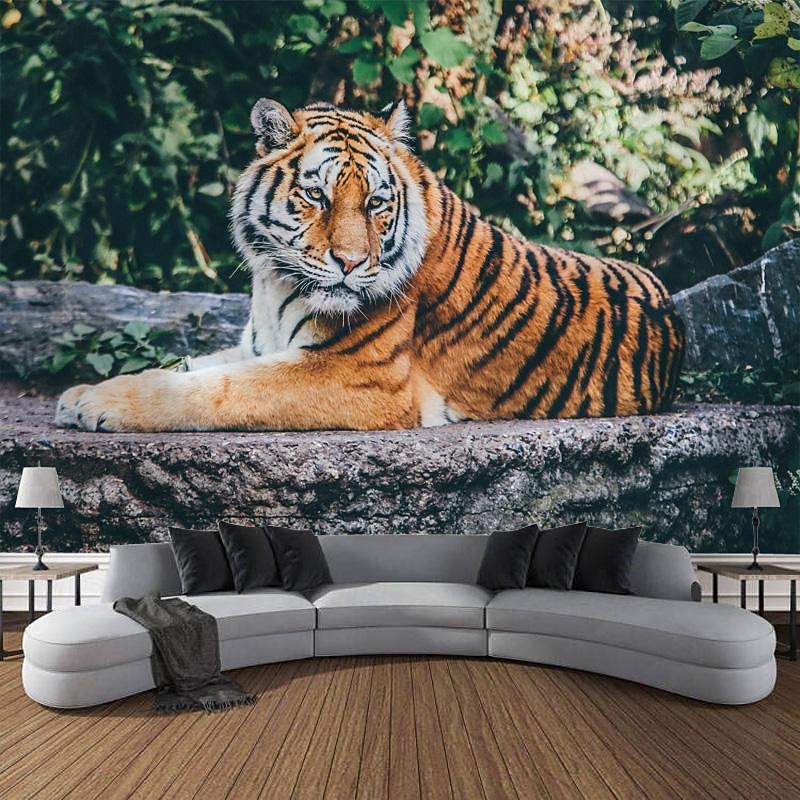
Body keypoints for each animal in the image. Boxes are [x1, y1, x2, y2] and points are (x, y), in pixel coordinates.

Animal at [55, 99, 685, 432]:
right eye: (317, 196)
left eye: (377, 203)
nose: (352, 262)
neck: (273, 282)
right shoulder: (260, 345)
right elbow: (189, 365)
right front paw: (83, 390)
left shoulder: (358, 375)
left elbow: (214, 389)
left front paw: (99, 403)